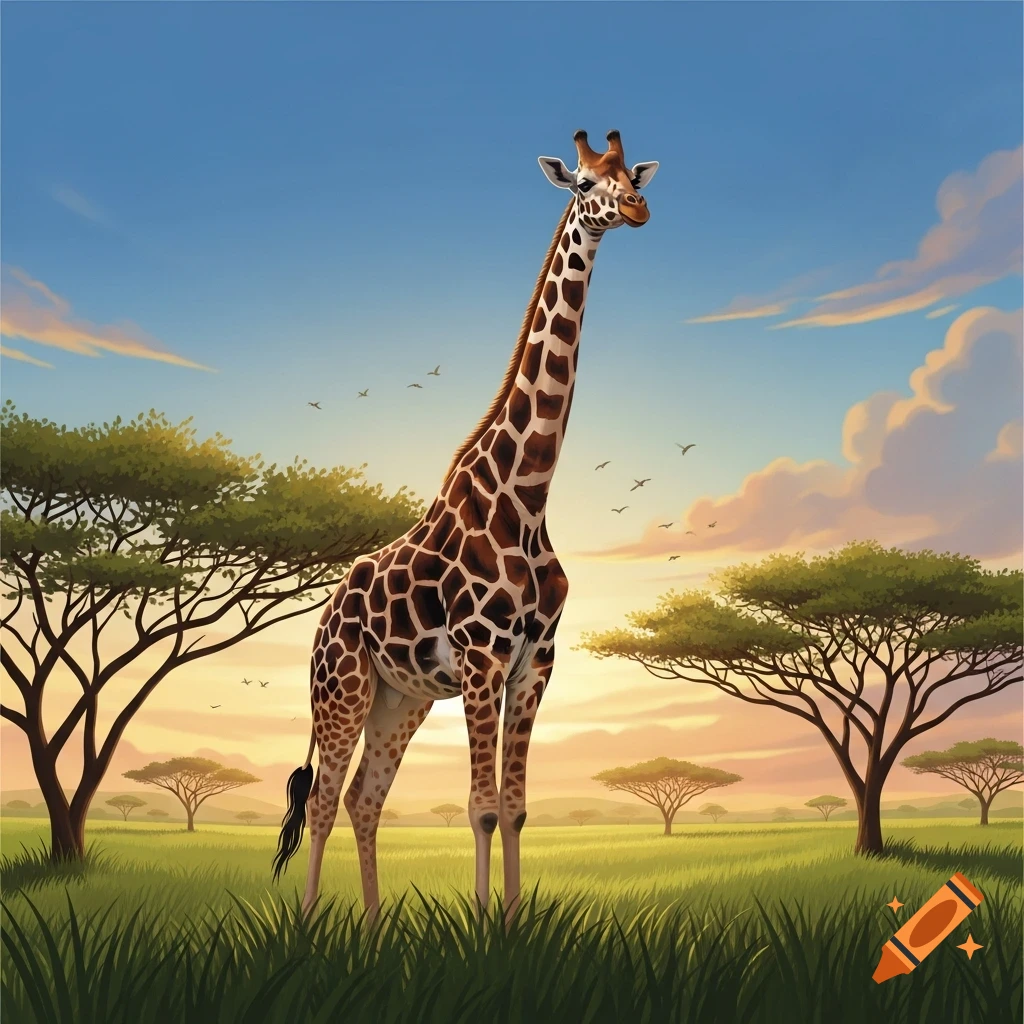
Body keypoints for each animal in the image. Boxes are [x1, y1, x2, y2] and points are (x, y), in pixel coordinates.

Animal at [272, 128, 659, 921]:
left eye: (631, 177)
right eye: (583, 183)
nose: (637, 209)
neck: (528, 497)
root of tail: (321, 624)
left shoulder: (536, 661)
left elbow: (514, 807)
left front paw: (510, 924)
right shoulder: (484, 656)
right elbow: (480, 807)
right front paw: (484, 931)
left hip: (402, 698)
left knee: (363, 799)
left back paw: (375, 929)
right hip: (343, 690)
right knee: (322, 800)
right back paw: (310, 926)